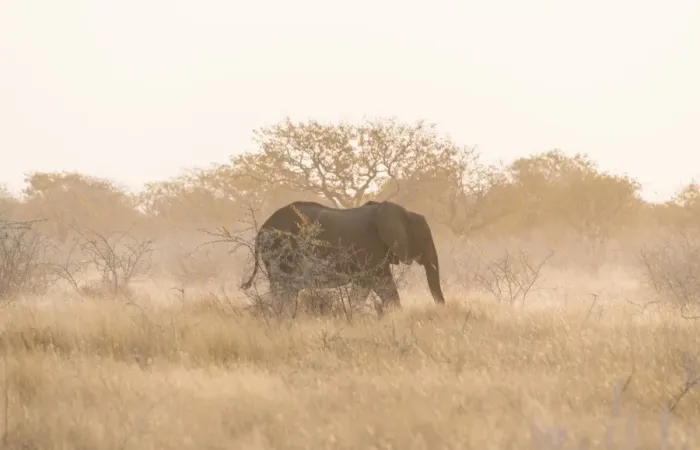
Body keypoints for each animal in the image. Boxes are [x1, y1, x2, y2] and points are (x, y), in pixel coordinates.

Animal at [240, 200, 446, 316]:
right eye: (426, 238)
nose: (441, 311)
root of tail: (261, 230)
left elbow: (366, 287)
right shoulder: (370, 248)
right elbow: (381, 284)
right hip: (279, 250)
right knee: (284, 287)